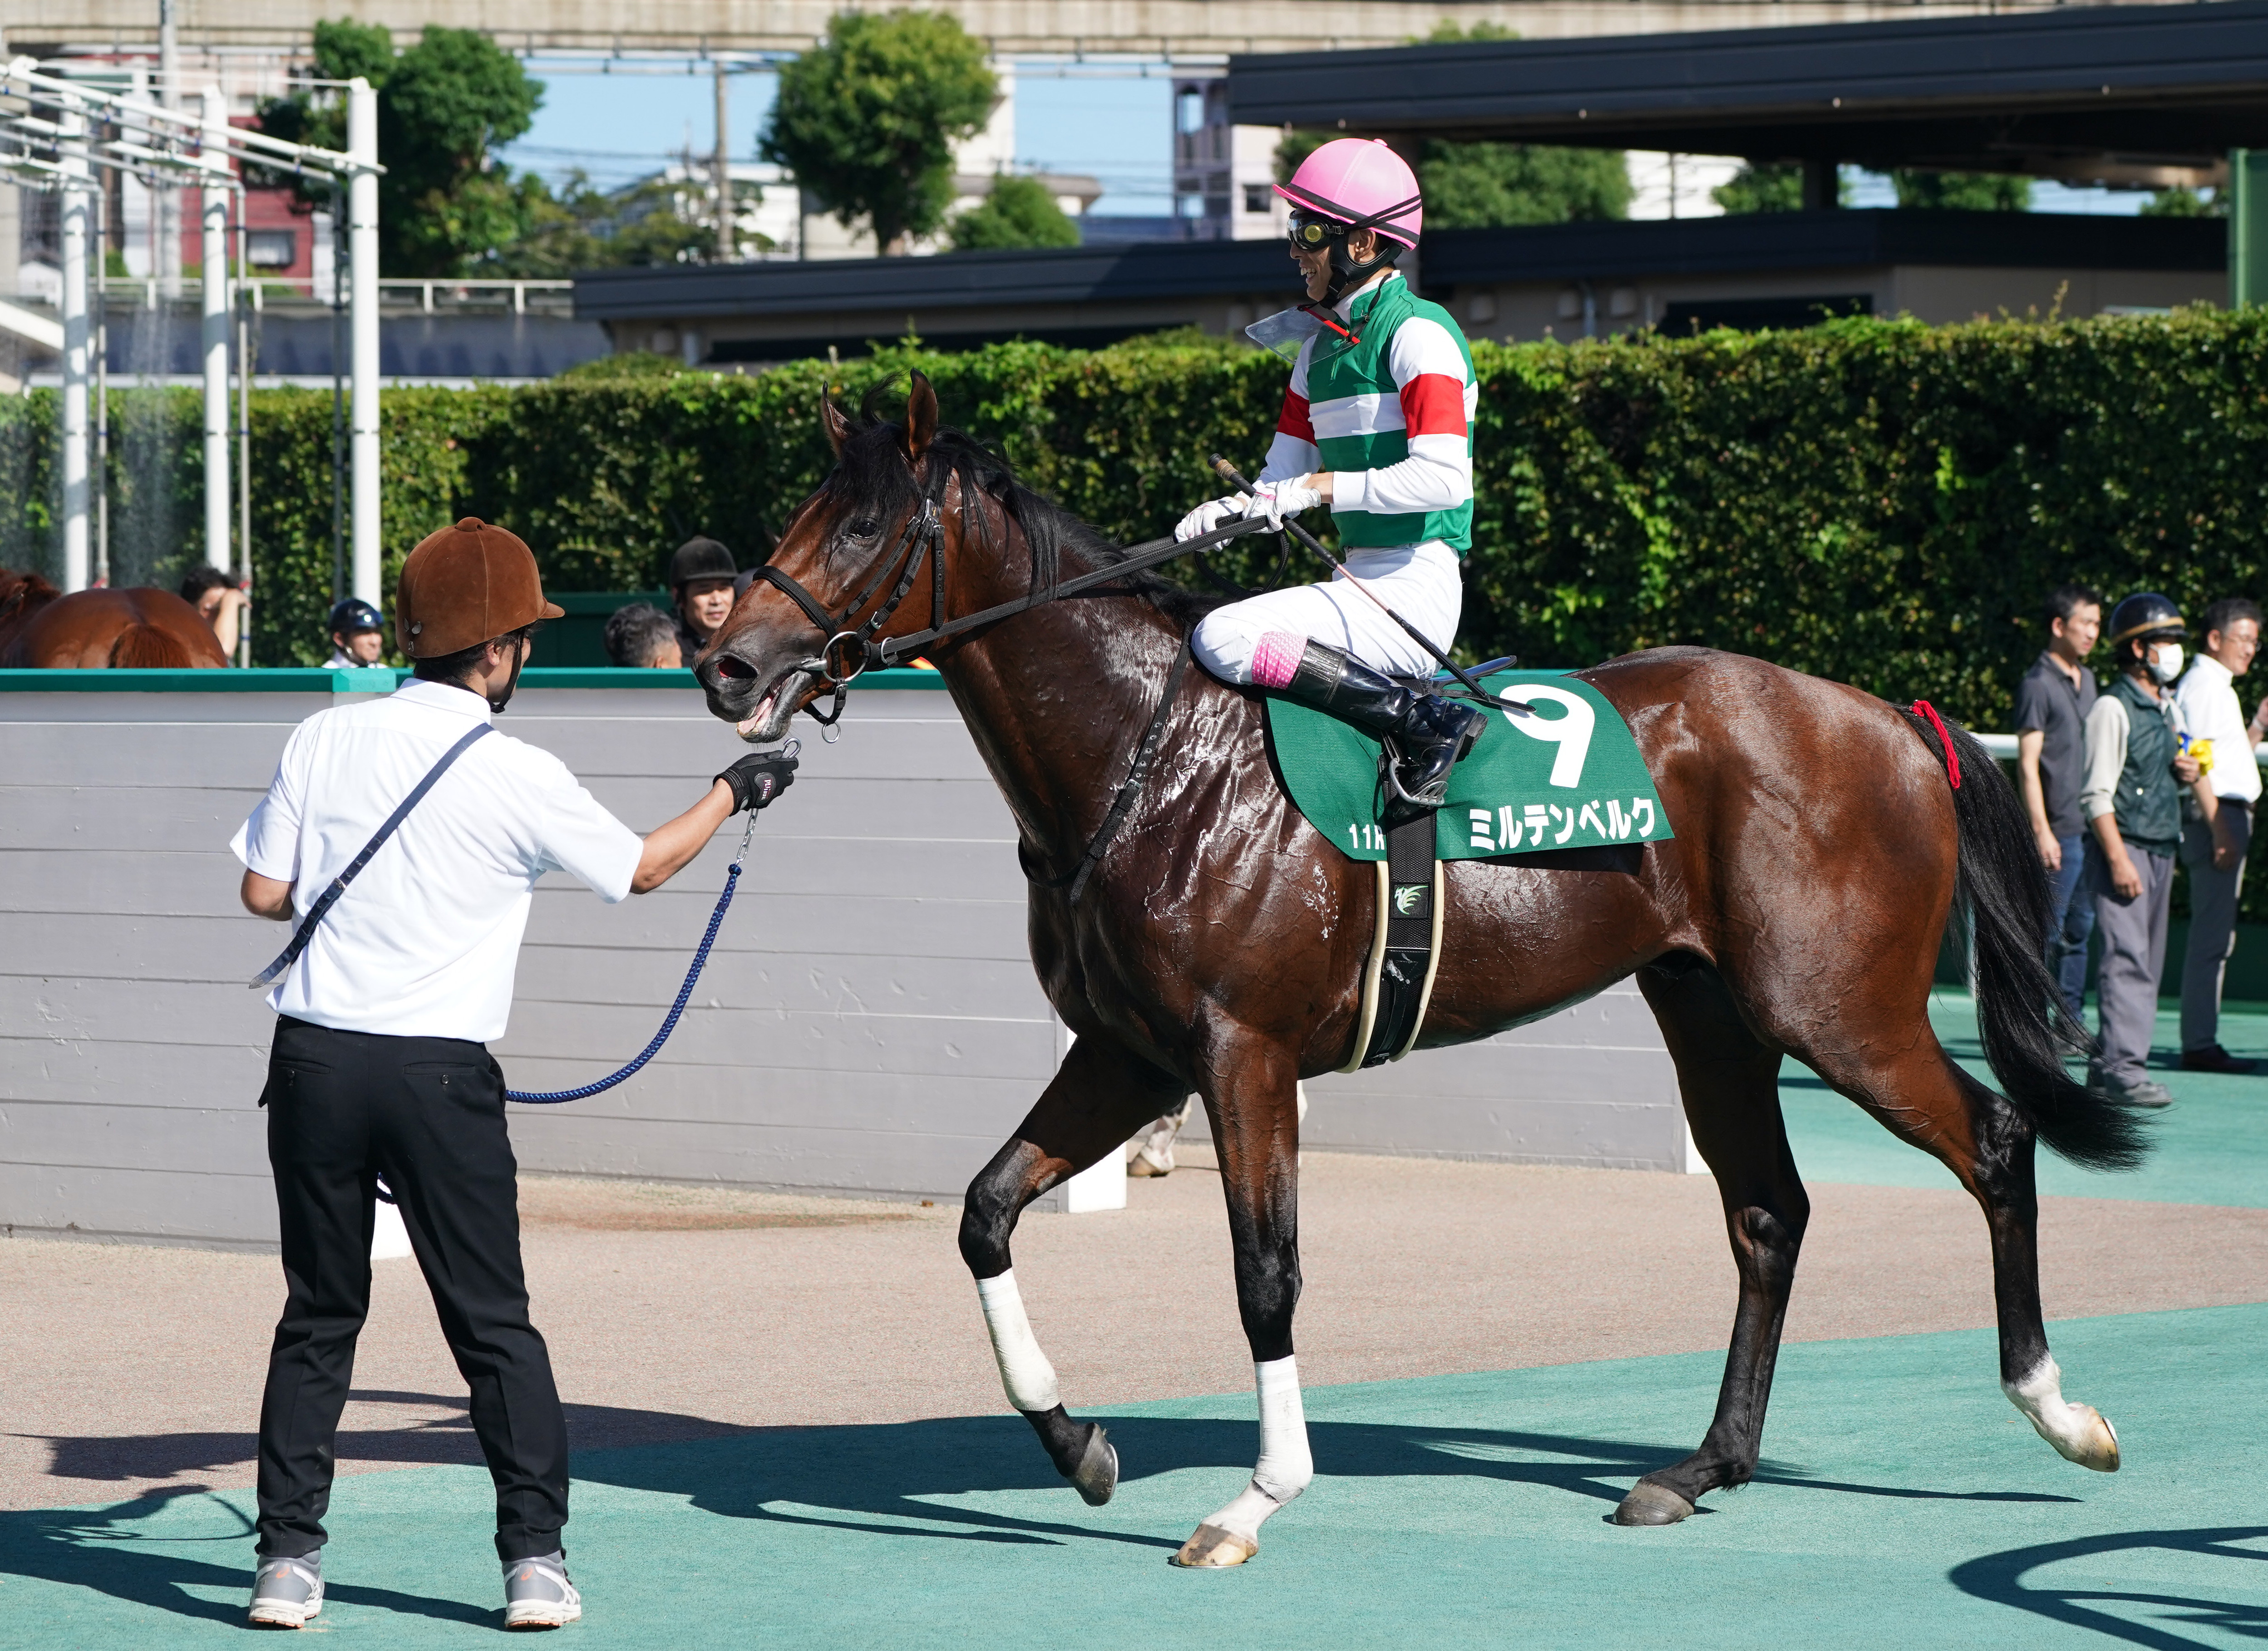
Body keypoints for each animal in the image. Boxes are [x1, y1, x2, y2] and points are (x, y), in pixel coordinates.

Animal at [689, 376, 2141, 1569]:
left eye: (861, 530)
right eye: (801, 514)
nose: (728, 664)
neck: (1147, 756)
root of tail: (1884, 716)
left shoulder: (1240, 1053)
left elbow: (1263, 1272)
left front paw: (1254, 1497)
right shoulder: (1128, 1053)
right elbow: (986, 1210)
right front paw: (1077, 1441)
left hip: (1839, 1009)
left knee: (1993, 1140)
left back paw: (2058, 1409)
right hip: (1711, 1011)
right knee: (1766, 1211)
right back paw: (1698, 1466)